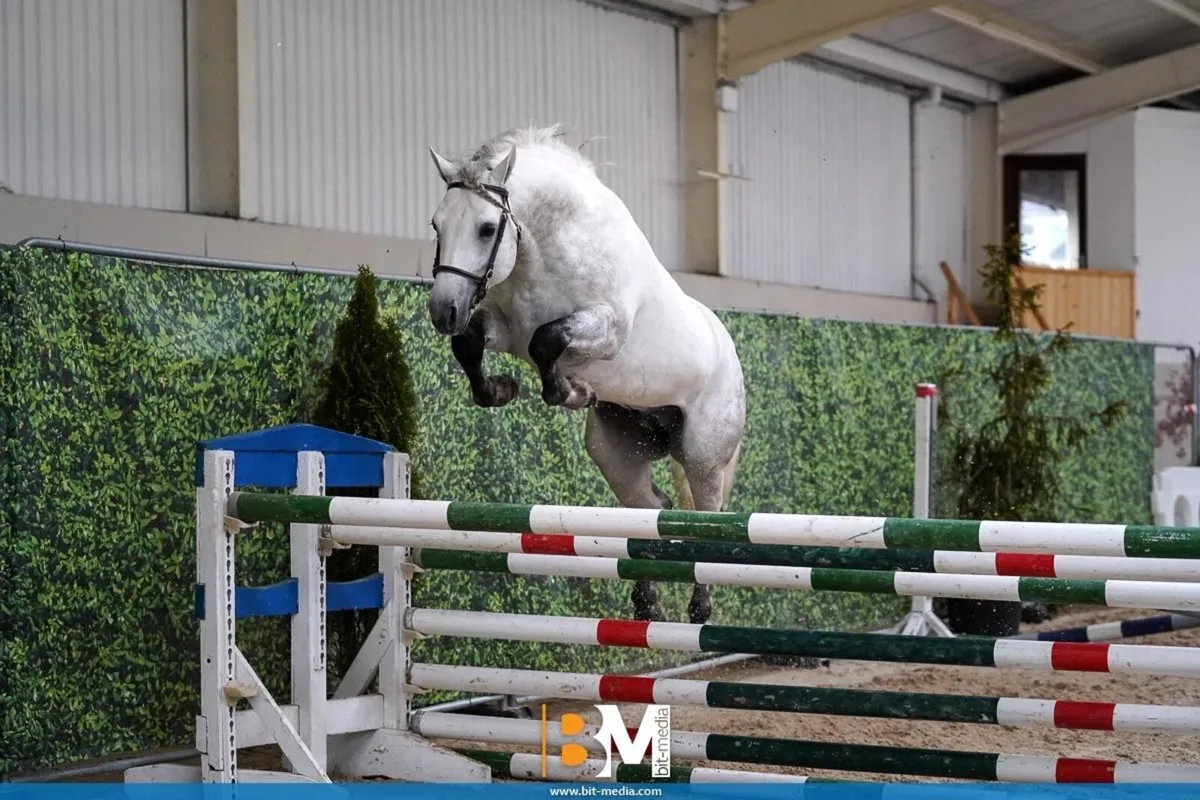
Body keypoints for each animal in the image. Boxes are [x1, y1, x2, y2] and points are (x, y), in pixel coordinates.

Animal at [424, 124, 745, 625]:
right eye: (437, 225)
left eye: (486, 228)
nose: (443, 311)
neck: (547, 244)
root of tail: (729, 351)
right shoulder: (505, 330)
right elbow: (471, 344)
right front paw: (502, 389)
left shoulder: (604, 329)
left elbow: (548, 341)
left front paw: (571, 390)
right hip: (616, 452)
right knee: (651, 509)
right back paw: (647, 602)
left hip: (703, 453)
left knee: (707, 519)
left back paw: (700, 608)